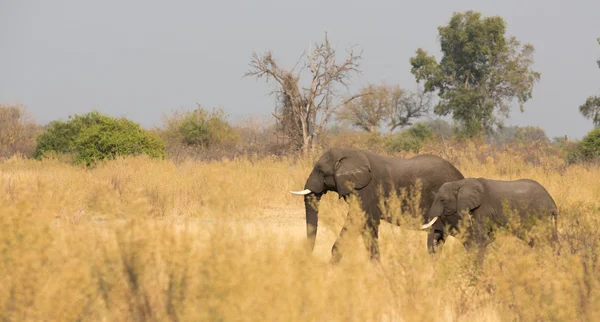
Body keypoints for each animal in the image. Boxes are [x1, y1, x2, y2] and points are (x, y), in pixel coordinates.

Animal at [290, 148, 464, 264]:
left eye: (321, 172)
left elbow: (359, 221)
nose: (307, 258)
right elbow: (365, 225)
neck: (349, 153)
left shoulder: (368, 190)